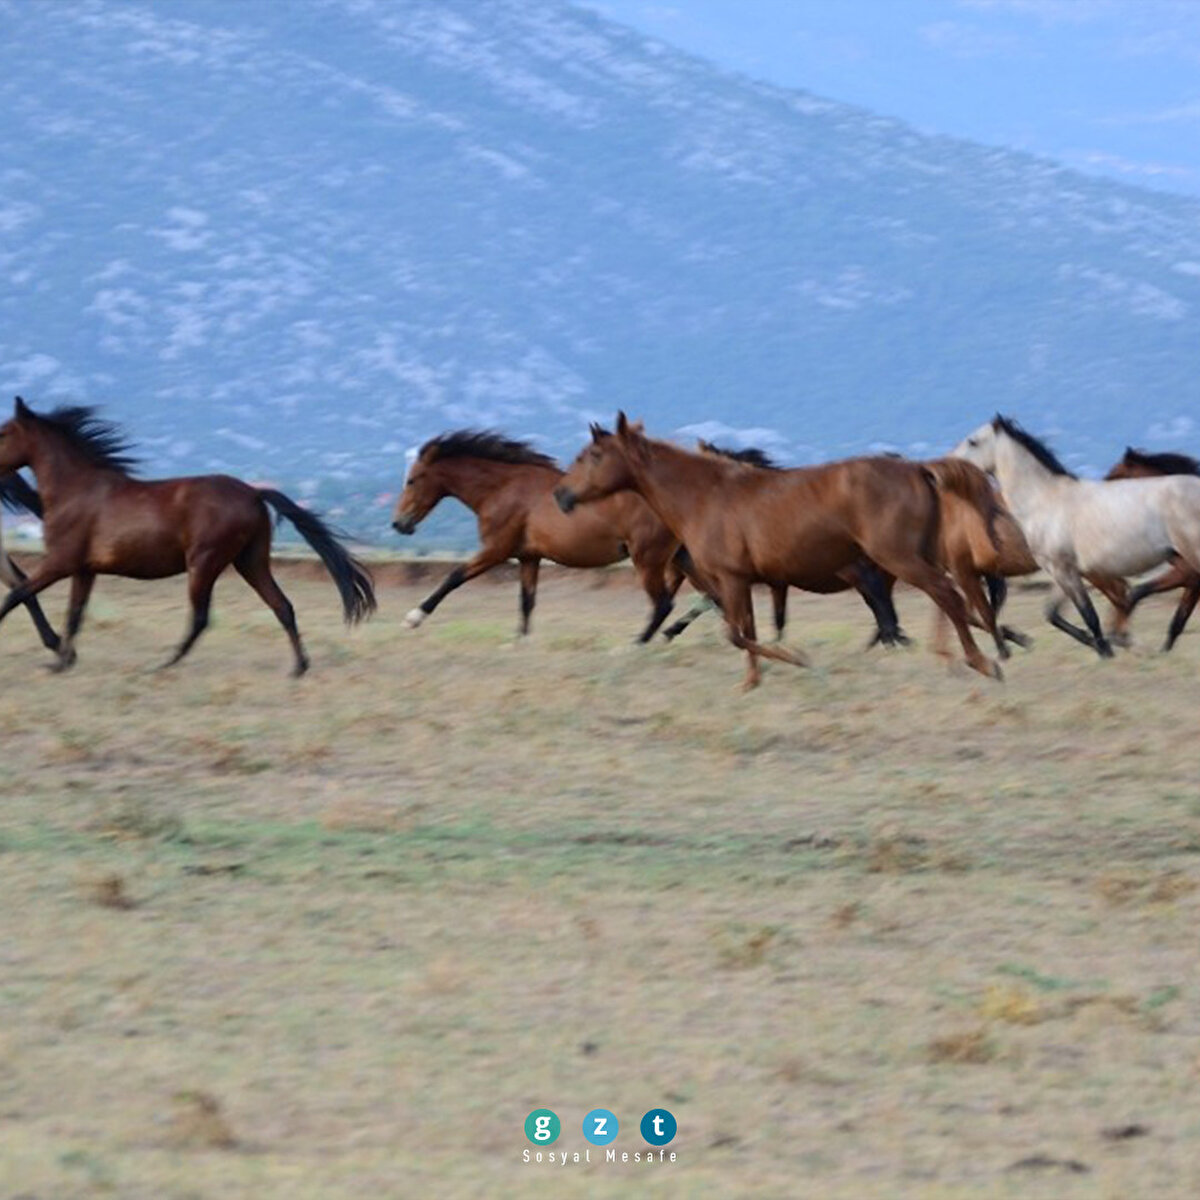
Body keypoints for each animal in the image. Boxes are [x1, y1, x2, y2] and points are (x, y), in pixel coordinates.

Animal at [390, 429, 688, 641]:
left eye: (412, 480)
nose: (398, 524)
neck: (502, 489)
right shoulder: (528, 557)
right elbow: (527, 601)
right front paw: (520, 642)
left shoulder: (496, 550)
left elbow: (454, 577)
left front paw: (413, 618)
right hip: (679, 557)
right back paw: (667, 634)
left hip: (647, 560)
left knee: (663, 604)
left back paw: (637, 645)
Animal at [1106, 447, 1200, 649]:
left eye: (1114, 476)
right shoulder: (1192, 579)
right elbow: (1178, 622)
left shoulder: (1189, 573)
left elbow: (1137, 592)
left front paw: (1118, 636)